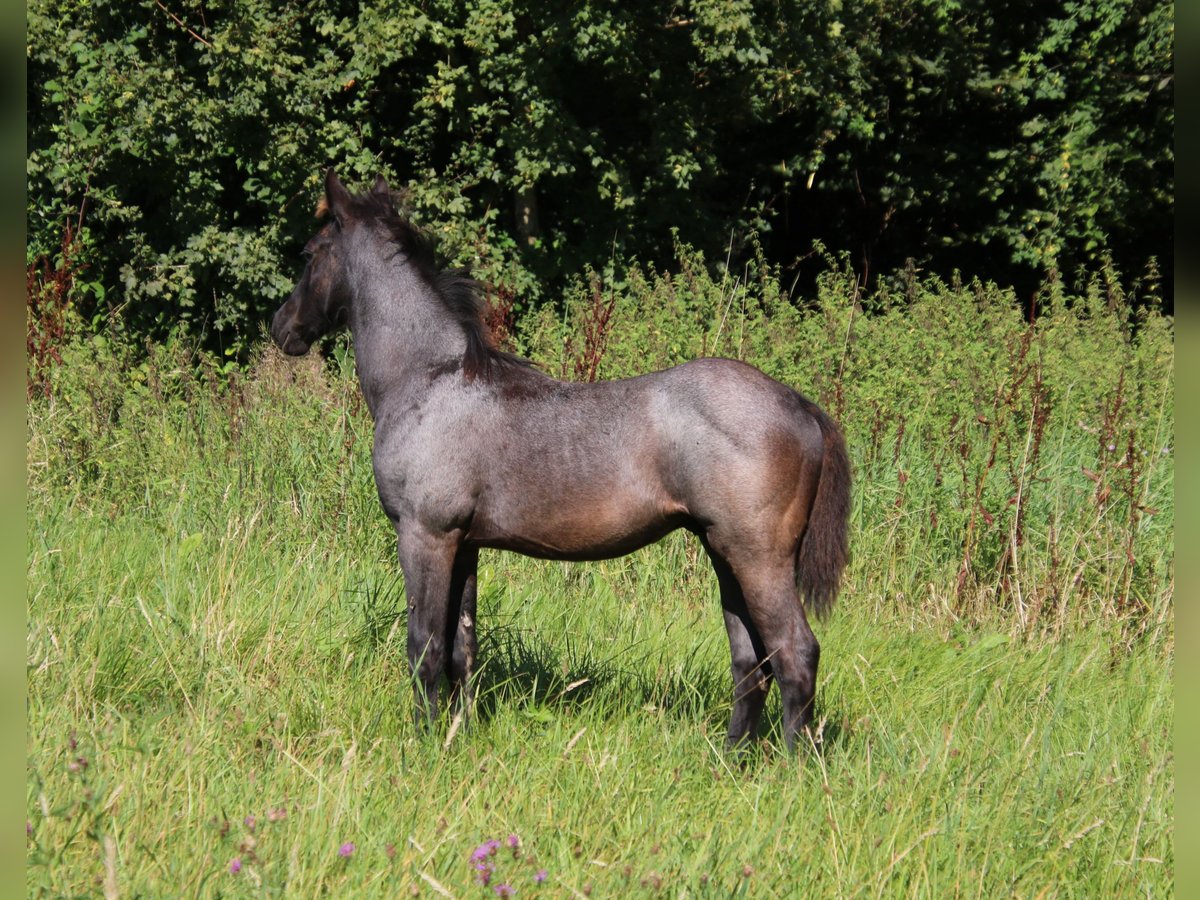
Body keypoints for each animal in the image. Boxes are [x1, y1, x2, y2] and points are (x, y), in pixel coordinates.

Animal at [272, 170, 854, 753]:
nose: (282, 327)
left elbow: (425, 649)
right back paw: (731, 758)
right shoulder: (464, 545)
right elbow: (462, 649)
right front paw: (459, 735)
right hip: (724, 553)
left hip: (759, 558)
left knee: (796, 654)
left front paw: (426, 744)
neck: (429, 381)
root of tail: (799, 405)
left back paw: (791, 764)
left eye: (309, 252)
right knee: (751, 661)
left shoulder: (425, 534)